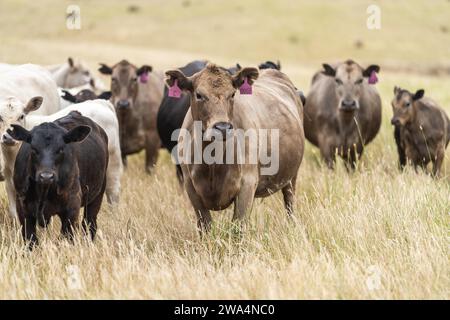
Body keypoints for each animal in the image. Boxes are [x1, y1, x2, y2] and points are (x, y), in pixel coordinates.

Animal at [8, 110, 108, 248]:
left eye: (61, 149)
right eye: (33, 149)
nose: (46, 176)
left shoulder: (72, 206)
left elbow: (66, 237)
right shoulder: (22, 206)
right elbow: (30, 239)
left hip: (97, 194)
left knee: (89, 223)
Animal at [166, 63, 306, 232]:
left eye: (232, 94)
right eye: (199, 95)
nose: (222, 127)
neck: (213, 163)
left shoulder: (247, 185)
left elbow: (237, 228)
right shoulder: (191, 188)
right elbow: (206, 226)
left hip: (291, 177)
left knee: (289, 203)